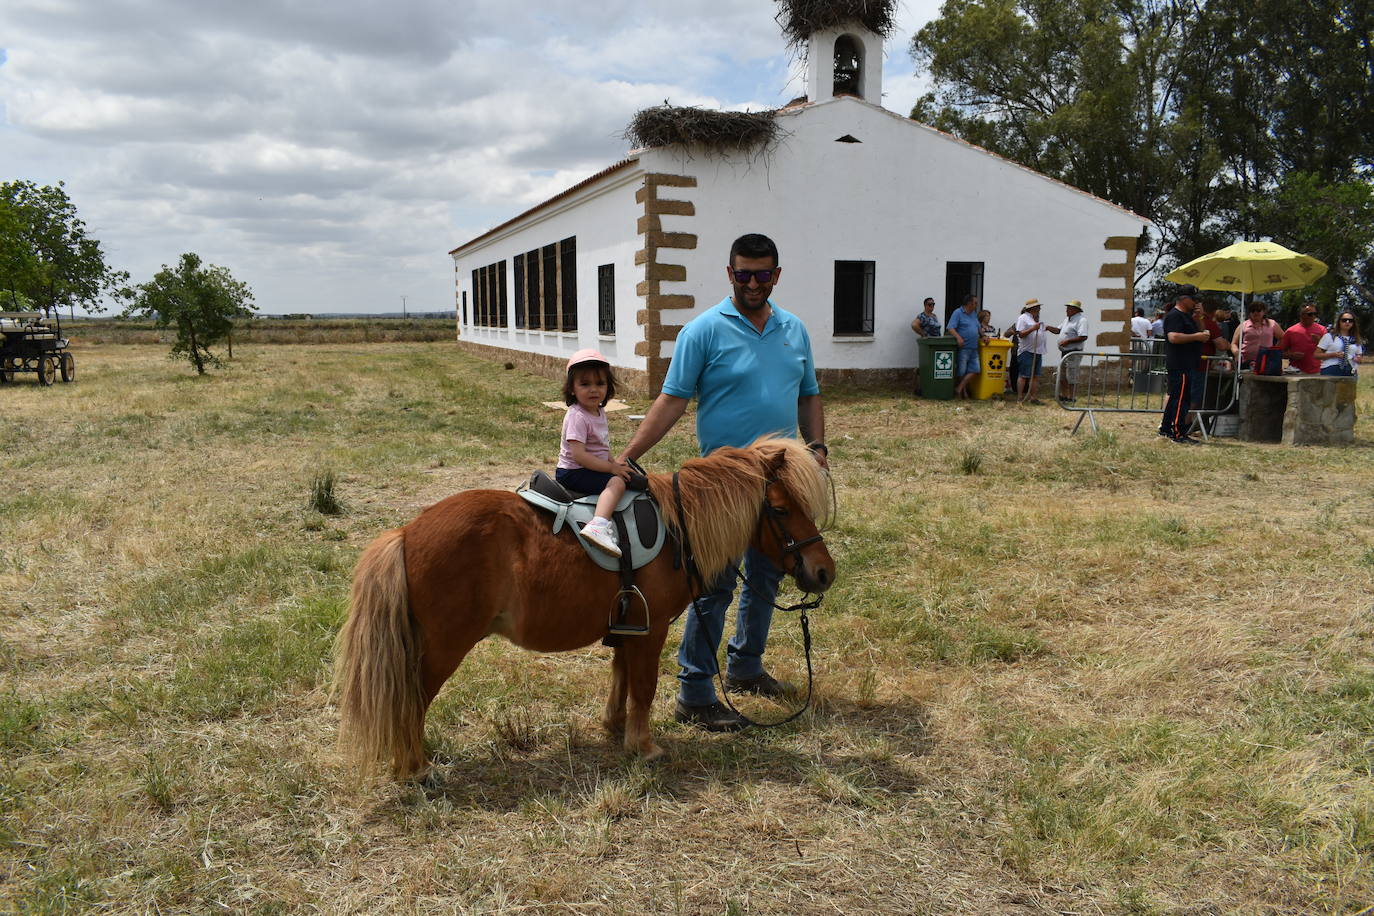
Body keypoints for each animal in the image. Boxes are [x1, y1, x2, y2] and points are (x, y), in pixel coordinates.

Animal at [333, 435, 836, 780]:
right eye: (781, 509)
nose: (823, 572)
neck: (678, 528)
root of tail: (406, 533)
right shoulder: (651, 630)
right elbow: (644, 686)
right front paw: (645, 747)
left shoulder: (628, 623)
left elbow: (621, 677)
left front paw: (616, 729)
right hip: (444, 648)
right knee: (412, 701)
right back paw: (416, 769)